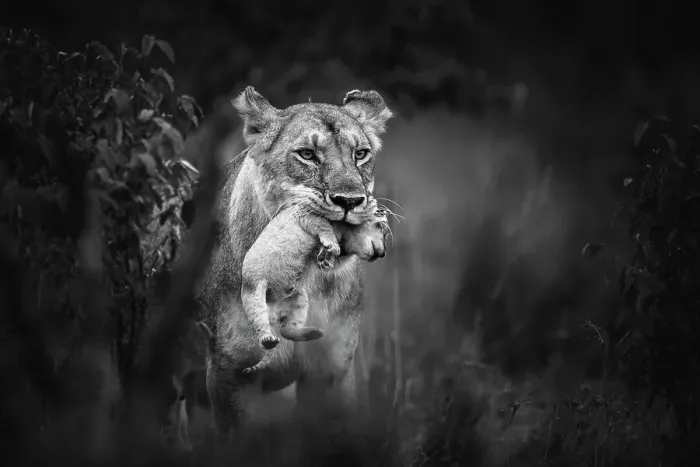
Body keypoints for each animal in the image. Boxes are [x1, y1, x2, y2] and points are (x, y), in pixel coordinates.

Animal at [240, 197, 389, 375]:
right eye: (382, 229)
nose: (383, 253)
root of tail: (273, 308)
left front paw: (326, 258)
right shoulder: (307, 215)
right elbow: (323, 227)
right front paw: (331, 246)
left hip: (299, 298)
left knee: (286, 330)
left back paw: (312, 333)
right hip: (254, 292)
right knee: (260, 322)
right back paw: (268, 339)